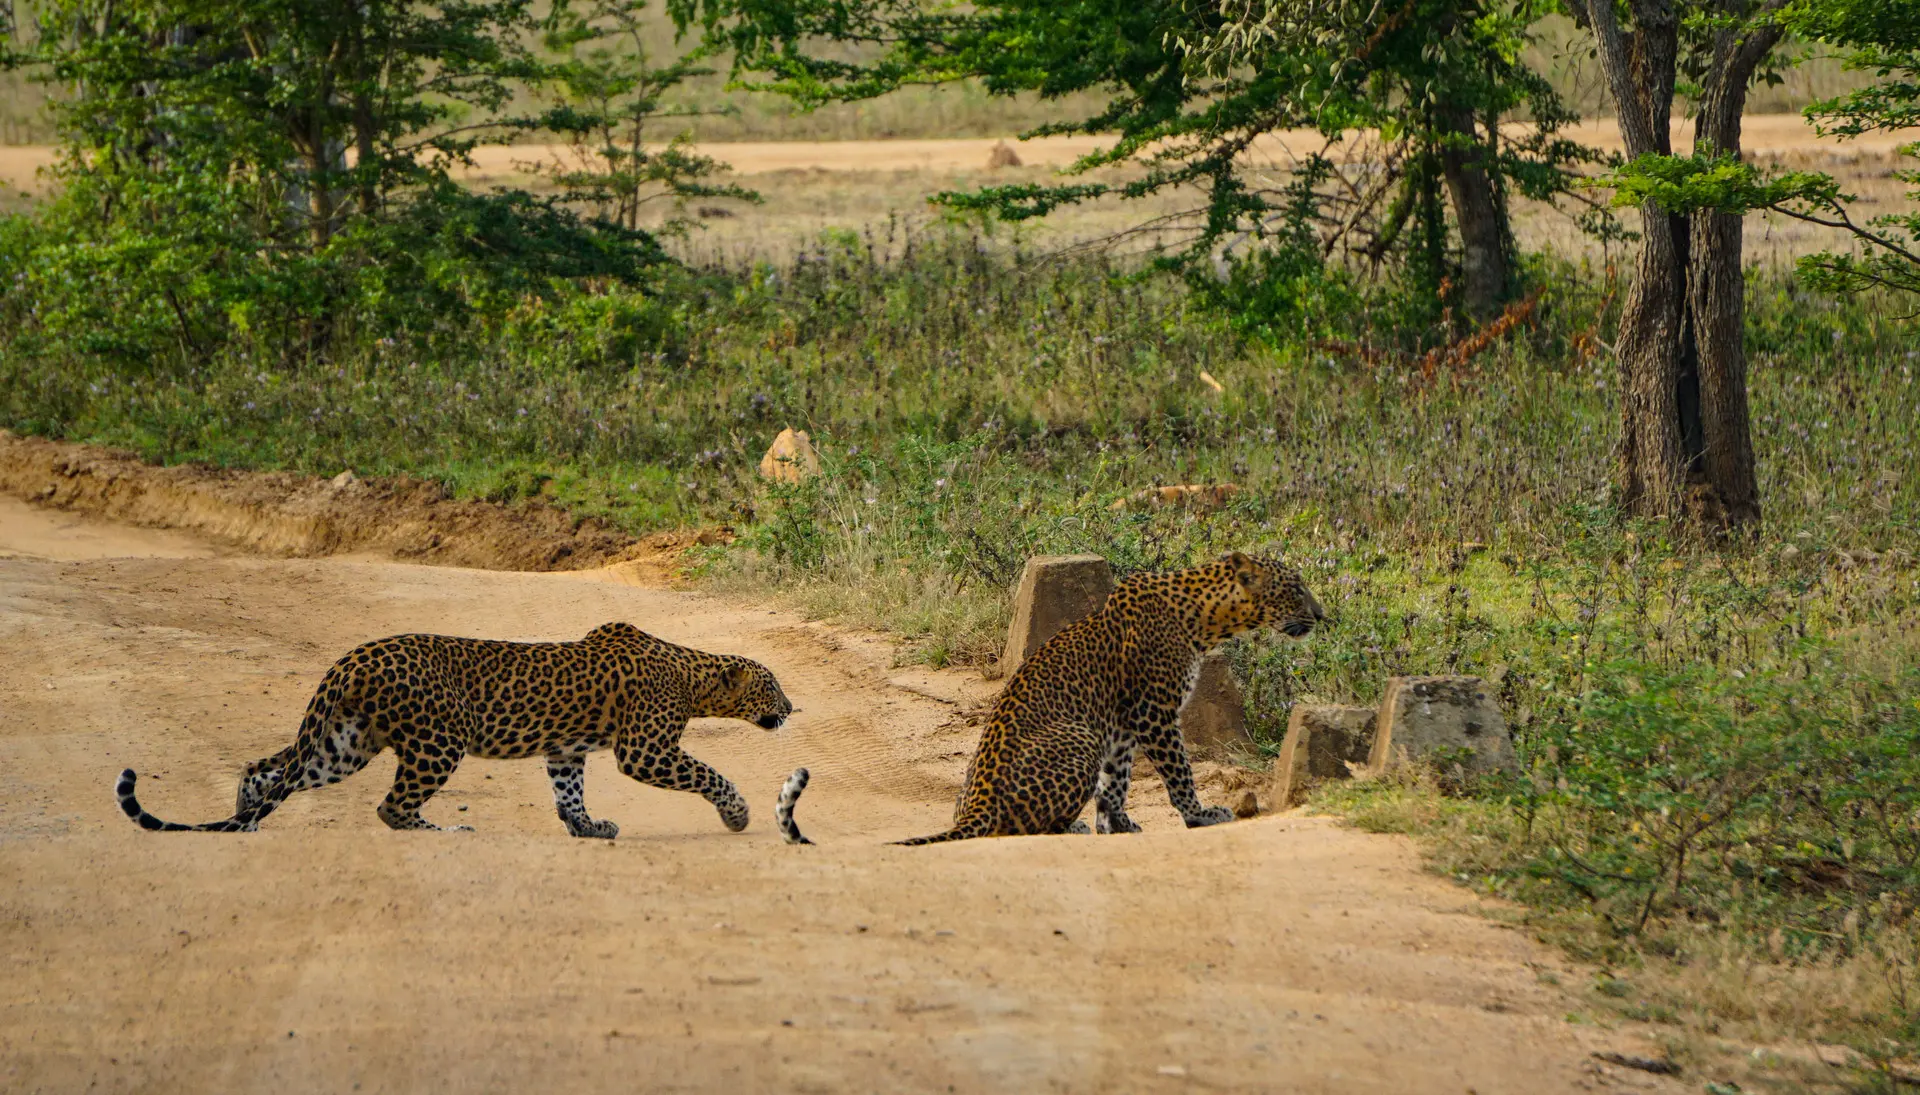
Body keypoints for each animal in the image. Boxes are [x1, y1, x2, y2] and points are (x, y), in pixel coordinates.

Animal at [116, 622, 791, 833]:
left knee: (265, 770)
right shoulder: (646, 751)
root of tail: (354, 656)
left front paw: (588, 828)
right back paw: (440, 829)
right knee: (392, 806)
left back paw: (247, 821)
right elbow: (709, 773)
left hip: (345, 742)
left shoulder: (565, 750)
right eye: (773, 686)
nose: (792, 709)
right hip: (440, 740)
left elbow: (568, 793)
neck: (693, 675)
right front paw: (738, 815)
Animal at [775, 553, 1320, 845]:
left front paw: (1117, 823)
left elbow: (1117, 780)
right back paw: (1070, 827)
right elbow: (1179, 773)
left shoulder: (1123, 726)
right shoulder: (1155, 714)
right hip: (1077, 738)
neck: (1204, 619)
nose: (1322, 614)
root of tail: (975, 809)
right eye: (1295, 589)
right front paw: (1199, 815)